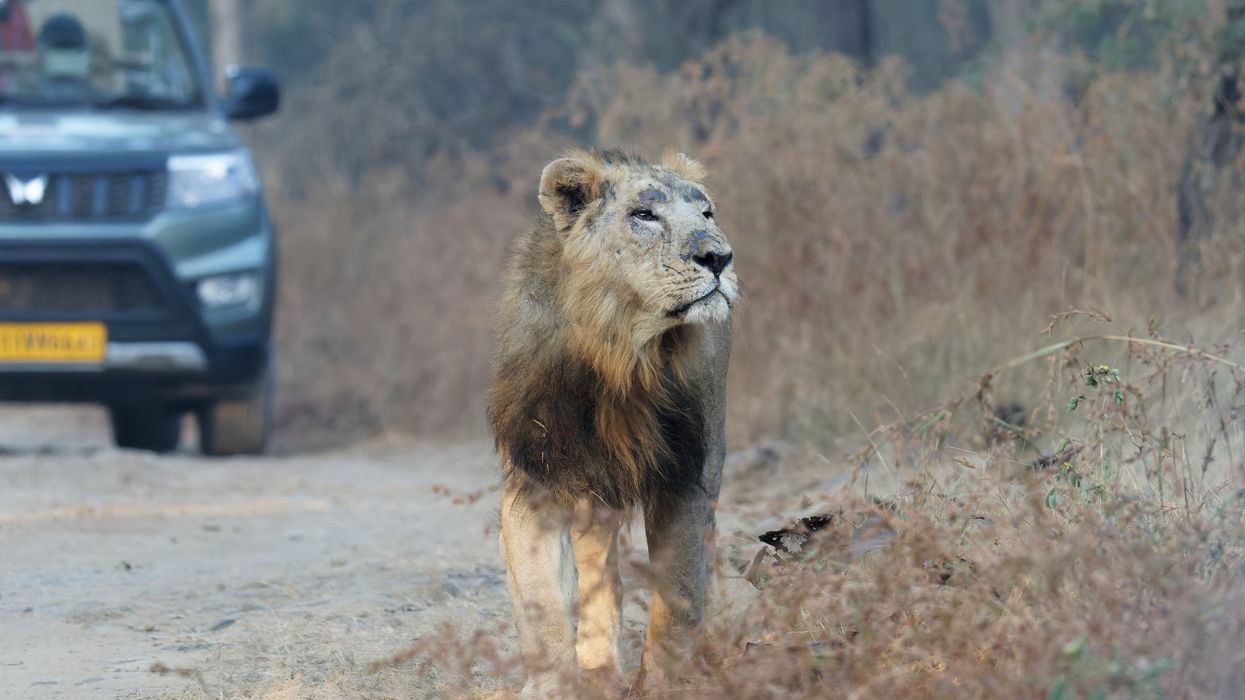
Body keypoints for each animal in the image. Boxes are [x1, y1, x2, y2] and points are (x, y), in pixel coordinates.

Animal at [488, 148, 738, 692]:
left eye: (707, 213)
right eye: (644, 214)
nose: (718, 256)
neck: (622, 352)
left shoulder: (686, 474)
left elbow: (680, 594)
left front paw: (667, 683)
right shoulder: (533, 478)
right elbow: (540, 603)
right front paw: (552, 686)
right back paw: (598, 668)